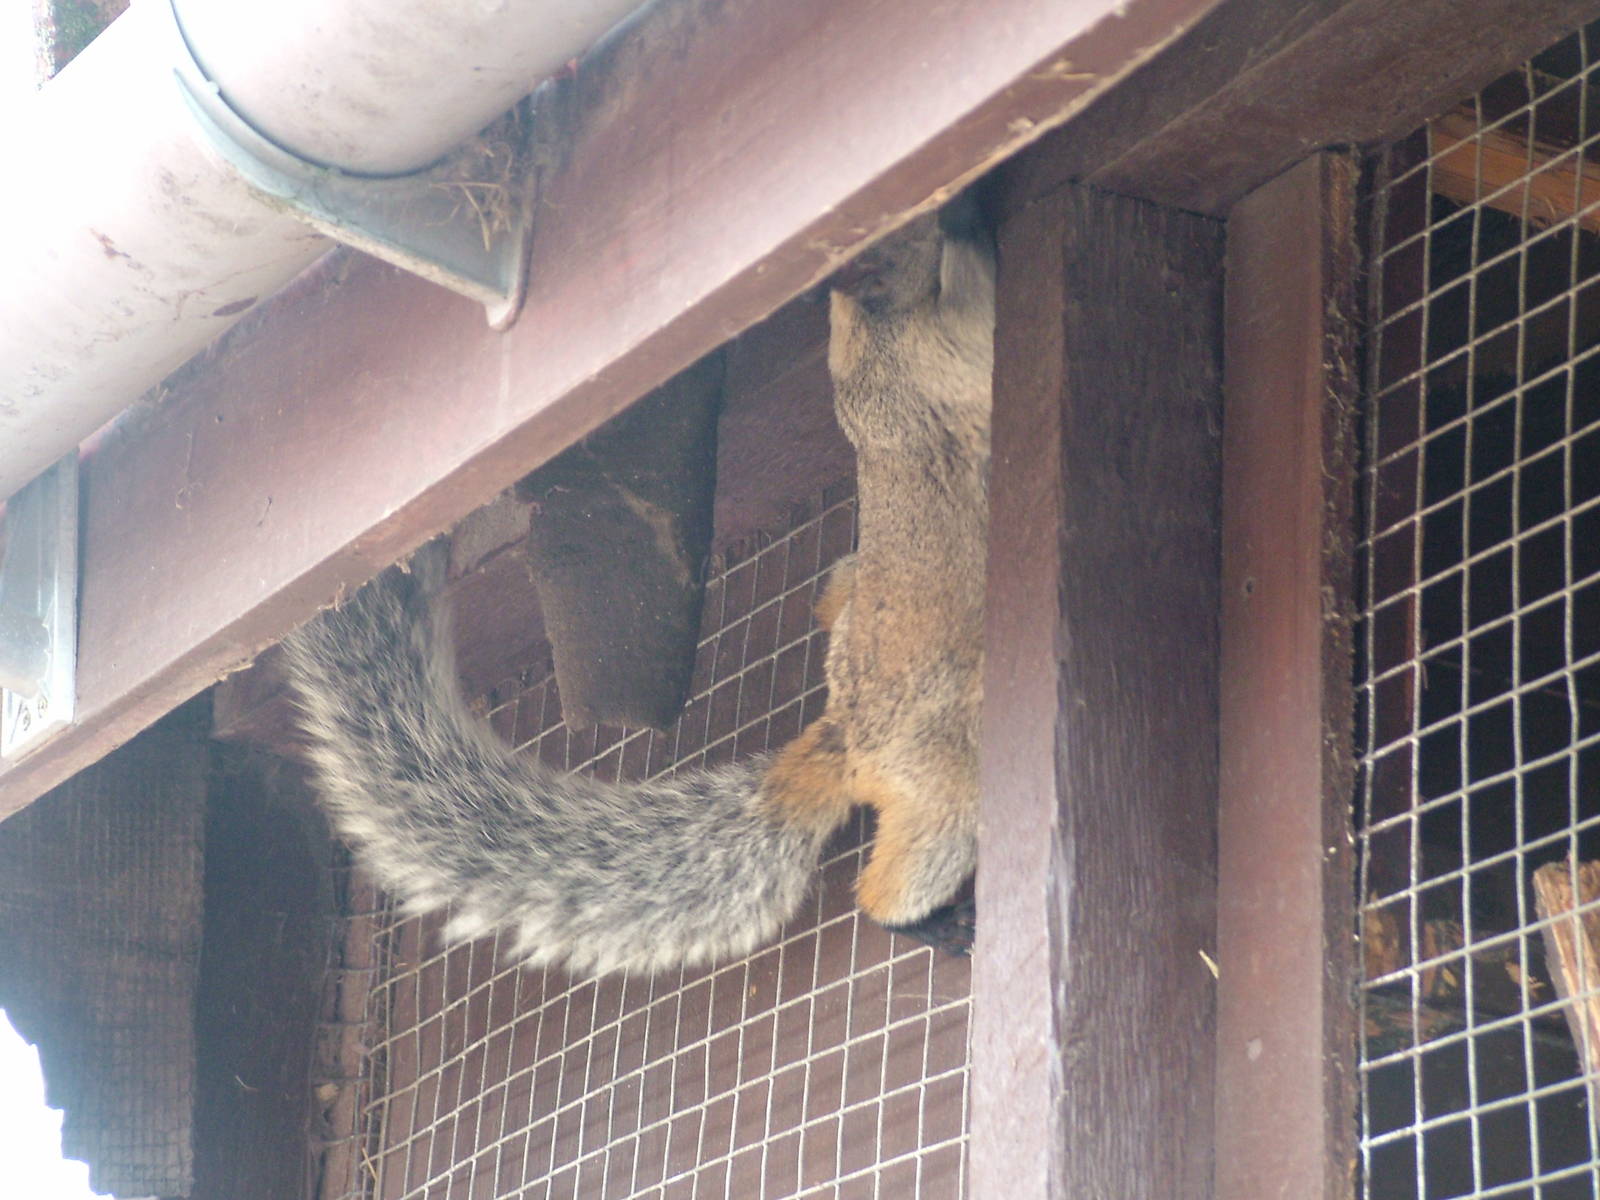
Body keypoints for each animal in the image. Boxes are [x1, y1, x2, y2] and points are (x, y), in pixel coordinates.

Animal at [281, 201, 993, 977]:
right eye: (892, 245)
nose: (943, 223)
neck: (865, 352)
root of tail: (845, 738)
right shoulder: (937, 356)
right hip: (947, 777)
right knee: (902, 873)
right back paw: (930, 921)